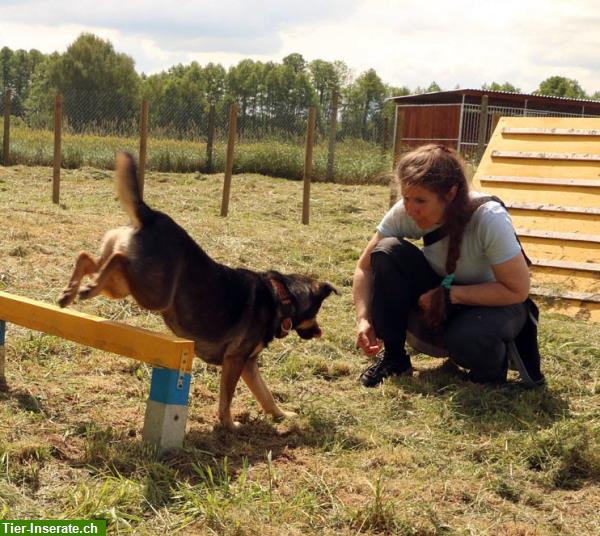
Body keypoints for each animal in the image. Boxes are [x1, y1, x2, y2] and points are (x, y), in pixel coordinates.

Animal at [58, 153, 340, 430]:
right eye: (316, 312)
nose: (319, 332)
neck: (281, 296)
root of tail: (152, 216)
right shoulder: (236, 359)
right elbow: (227, 397)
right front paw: (229, 424)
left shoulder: (249, 365)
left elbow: (265, 394)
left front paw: (282, 415)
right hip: (154, 294)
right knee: (117, 260)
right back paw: (86, 288)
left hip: (121, 285)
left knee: (87, 258)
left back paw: (70, 292)